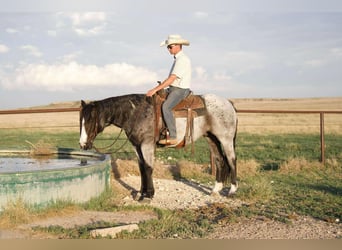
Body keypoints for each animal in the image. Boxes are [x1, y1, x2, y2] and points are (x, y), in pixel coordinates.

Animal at [79, 93, 238, 201]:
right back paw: (216, 189)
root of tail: (228, 103)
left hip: (226, 139)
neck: (136, 112)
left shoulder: (147, 145)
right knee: (220, 160)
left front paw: (149, 195)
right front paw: (141, 192)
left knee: (231, 160)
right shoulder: (137, 146)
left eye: (90, 120)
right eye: (81, 120)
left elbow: (148, 168)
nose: (83, 144)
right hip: (211, 138)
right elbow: (142, 168)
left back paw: (232, 190)